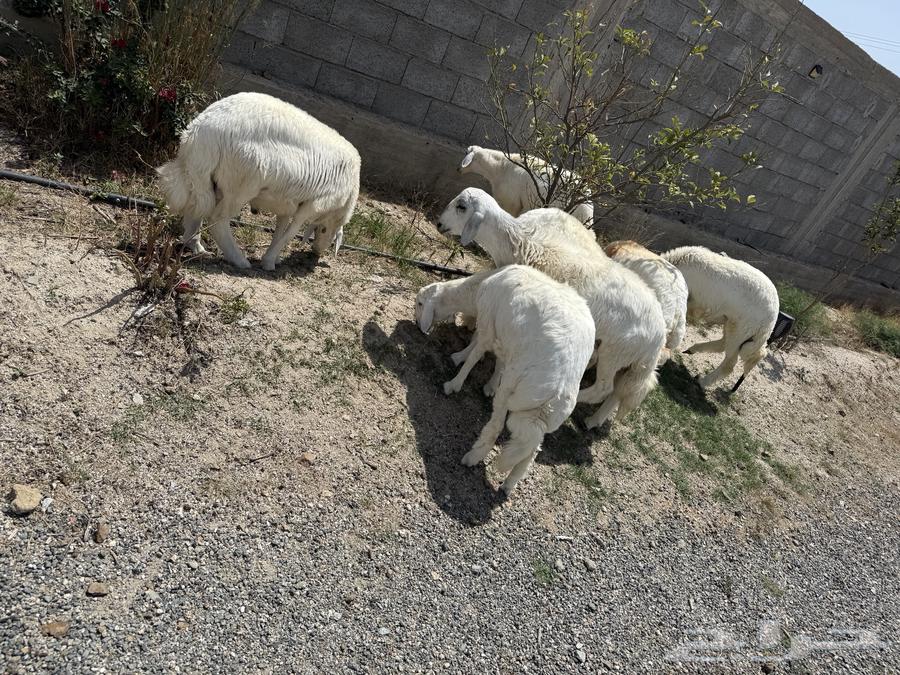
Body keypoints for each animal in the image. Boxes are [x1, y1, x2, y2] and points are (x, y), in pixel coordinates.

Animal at [157, 92, 360, 271]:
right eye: (324, 231)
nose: (316, 252)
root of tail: (198, 133)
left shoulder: (289, 202)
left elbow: (280, 228)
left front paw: (274, 259)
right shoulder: (314, 205)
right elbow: (291, 232)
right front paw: (269, 261)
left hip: (205, 178)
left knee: (196, 207)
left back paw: (195, 246)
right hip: (240, 185)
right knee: (217, 219)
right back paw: (239, 260)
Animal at [415, 265, 595, 494]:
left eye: (420, 303)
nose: (416, 324)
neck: (477, 289)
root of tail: (557, 394)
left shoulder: (487, 323)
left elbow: (476, 352)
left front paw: (456, 374)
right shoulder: (505, 339)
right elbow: (499, 361)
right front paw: (490, 384)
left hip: (512, 390)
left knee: (496, 427)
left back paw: (473, 457)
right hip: (535, 416)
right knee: (531, 450)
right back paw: (509, 484)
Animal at [437, 188, 667, 430]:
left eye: (461, 207)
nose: (439, 224)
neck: (529, 249)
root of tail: (660, 335)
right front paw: (463, 355)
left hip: (615, 352)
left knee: (604, 388)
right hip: (627, 360)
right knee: (619, 391)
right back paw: (594, 419)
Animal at [661, 245, 779, 389]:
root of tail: (772, 319)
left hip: (741, 330)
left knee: (729, 364)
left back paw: (702, 382)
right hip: (732, 324)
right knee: (722, 344)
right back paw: (692, 350)